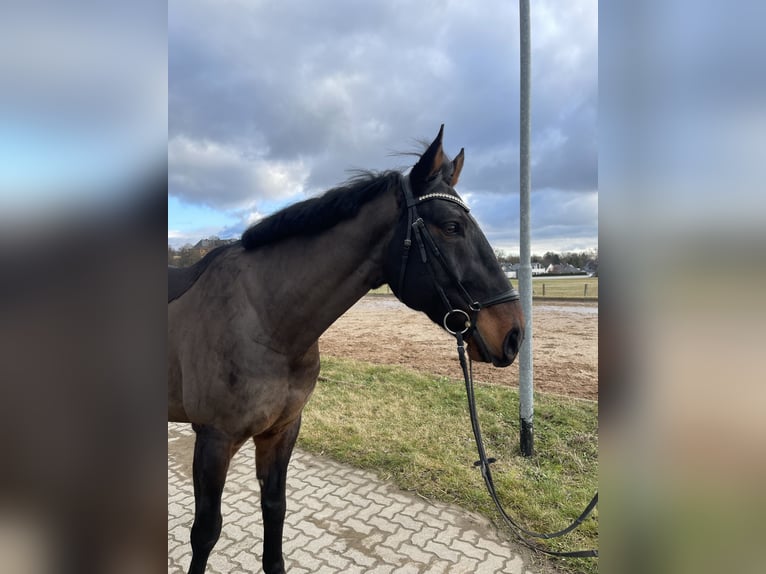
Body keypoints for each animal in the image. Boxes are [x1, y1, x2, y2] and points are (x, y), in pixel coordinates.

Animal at [168, 127, 528, 574]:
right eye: (452, 226)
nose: (513, 335)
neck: (263, 318)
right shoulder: (214, 440)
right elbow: (205, 532)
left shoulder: (281, 432)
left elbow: (275, 511)